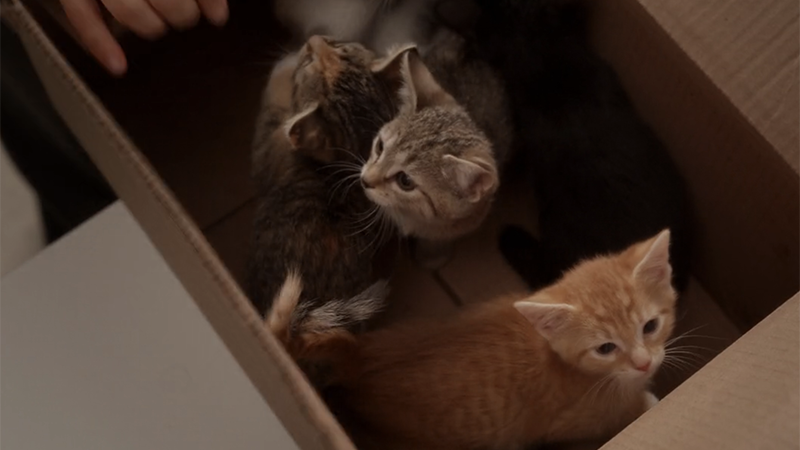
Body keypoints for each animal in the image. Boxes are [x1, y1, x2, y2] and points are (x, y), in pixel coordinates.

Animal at [318, 230, 676, 448]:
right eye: (605, 348)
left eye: (650, 326)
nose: (644, 363)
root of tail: (359, 358)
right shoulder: (567, 423)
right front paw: (645, 401)